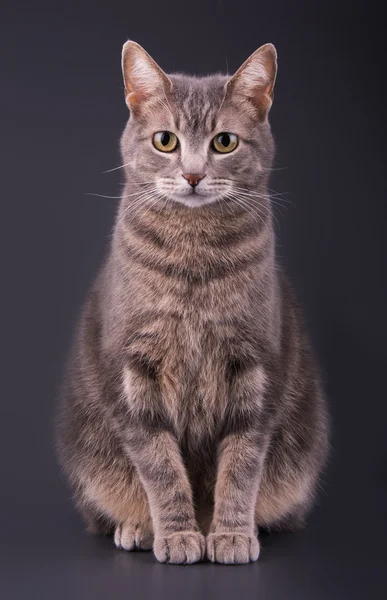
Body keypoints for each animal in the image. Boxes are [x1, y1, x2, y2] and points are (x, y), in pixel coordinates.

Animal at [56, 39, 330, 564]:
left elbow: (241, 465)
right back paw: (139, 527)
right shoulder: (134, 373)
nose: (193, 175)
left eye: (224, 142)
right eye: (166, 141)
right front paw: (179, 533)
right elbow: (161, 467)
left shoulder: (256, 367)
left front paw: (230, 534)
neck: (194, 259)